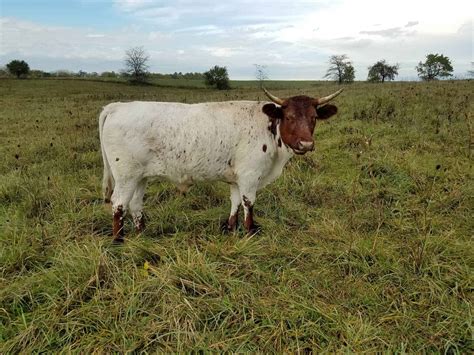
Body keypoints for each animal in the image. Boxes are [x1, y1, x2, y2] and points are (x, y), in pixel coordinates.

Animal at [100, 87, 342, 242]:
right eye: (289, 116)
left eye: (313, 118)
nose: (306, 144)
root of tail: (116, 107)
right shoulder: (249, 176)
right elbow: (248, 205)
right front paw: (249, 235)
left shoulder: (236, 178)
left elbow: (234, 203)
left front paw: (232, 230)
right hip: (126, 176)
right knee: (118, 204)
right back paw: (118, 242)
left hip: (140, 176)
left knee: (135, 205)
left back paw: (141, 235)